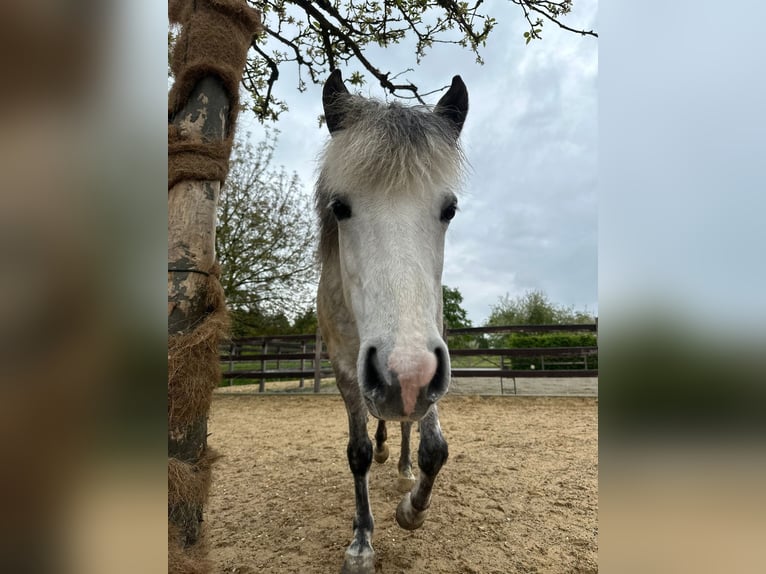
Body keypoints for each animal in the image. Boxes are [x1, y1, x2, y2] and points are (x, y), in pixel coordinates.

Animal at [316, 70, 472, 572]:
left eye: (449, 210)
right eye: (340, 207)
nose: (403, 375)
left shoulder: (430, 356)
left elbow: (434, 448)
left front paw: (411, 511)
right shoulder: (348, 373)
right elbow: (359, 452)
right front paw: (362, 541)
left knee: (404, 424)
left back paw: (402, 469)